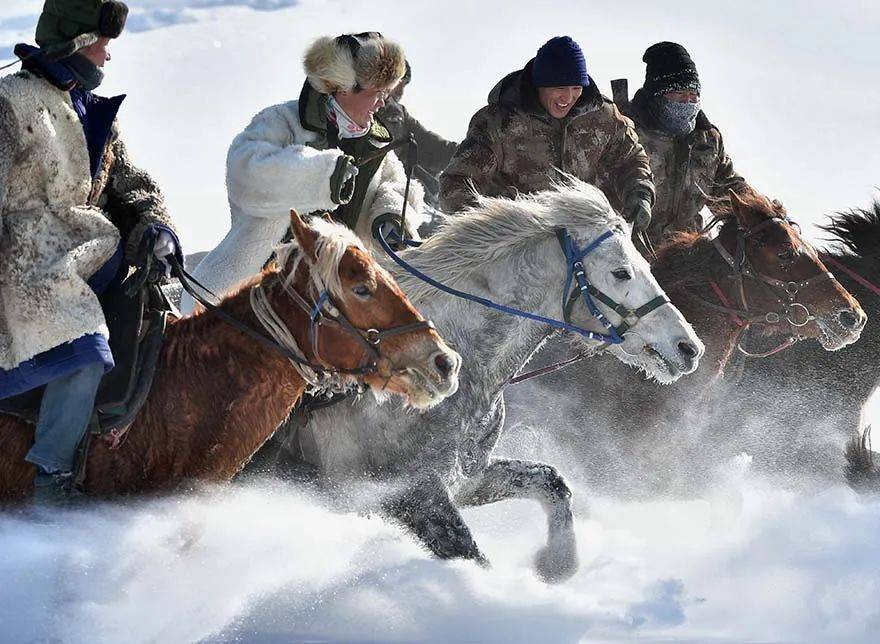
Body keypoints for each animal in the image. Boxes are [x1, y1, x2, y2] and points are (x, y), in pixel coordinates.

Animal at [258, 179, 704, 580]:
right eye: (621, 272)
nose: (689, 348)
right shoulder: (413, 497)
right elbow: (472, 556)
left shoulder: (470, 479)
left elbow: (553, 483)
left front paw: (557, 567)